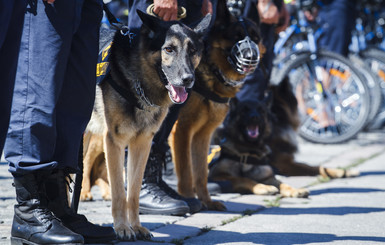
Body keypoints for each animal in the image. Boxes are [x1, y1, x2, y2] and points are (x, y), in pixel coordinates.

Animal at [82, 12, 212, 240]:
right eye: (169, 49)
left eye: (193, 51)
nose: (188, 79)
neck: (138, 81)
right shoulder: (114, 143)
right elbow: (119, 191)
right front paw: (122, 228)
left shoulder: (142, 144)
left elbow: (133, 193)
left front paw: (136, 226)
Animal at [168, 0, 260, 211]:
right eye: (236, 37)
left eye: (256, 38)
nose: (251, 56)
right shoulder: (181, 131)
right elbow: (185, 170)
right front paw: (188, 198)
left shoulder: (203, 135)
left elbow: (201, 173)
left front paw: (206, 201)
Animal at [206, 78, 358, 197]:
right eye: (244, 110)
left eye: (261, 111)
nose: (255, 117)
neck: (248, 151)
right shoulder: (219, 176)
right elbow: (245, 180)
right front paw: (263, 188)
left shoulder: (272, 174)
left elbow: (310, 170)